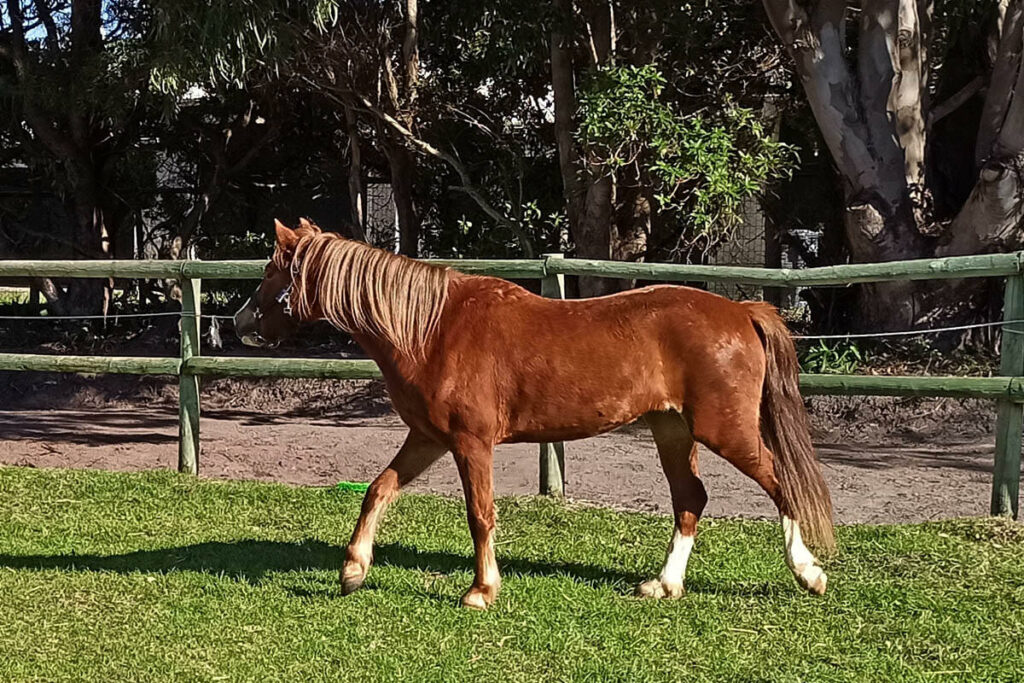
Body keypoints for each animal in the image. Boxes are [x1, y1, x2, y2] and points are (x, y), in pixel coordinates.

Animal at [237, 219, 831, 610]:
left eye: (270, 269)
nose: (240, 322)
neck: (431, 328)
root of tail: (741, 311)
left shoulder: (471, 443)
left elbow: (480, 515)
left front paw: (481, 590)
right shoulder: (427, 438)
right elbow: (377, 489)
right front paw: (353, 570)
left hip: (724, 430)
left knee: (782, 484)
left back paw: (809, 573)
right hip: (672, 431)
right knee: (691, 501)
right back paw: (663, 585)